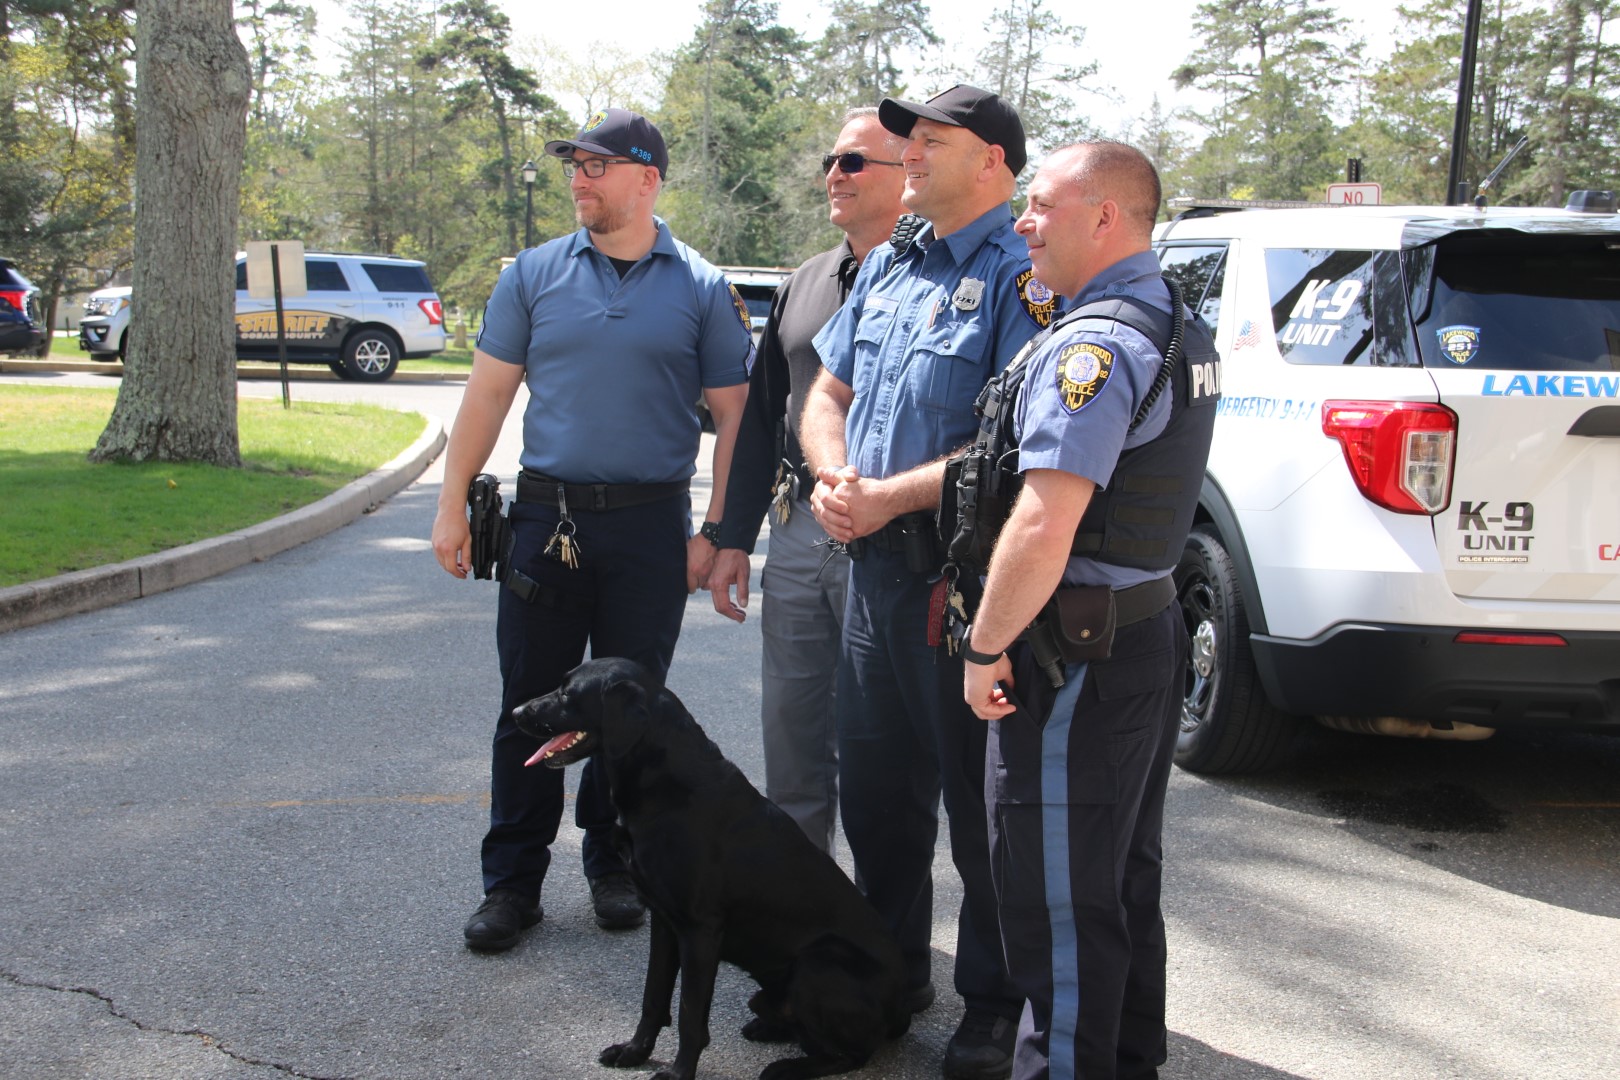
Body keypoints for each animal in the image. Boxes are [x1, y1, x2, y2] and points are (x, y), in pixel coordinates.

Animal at [514, 657, 910, 1080]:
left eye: (567, 694)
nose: (516, 712)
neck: (663, 782)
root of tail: (901, 1010)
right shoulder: (664, 921)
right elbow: (653, 996)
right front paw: (635, 1051)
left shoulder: (700, 930)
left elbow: (690, 1014)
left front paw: (678, 1073)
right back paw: (768, 1027)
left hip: (818, 964)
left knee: (852, 1054)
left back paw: (785, 1066)